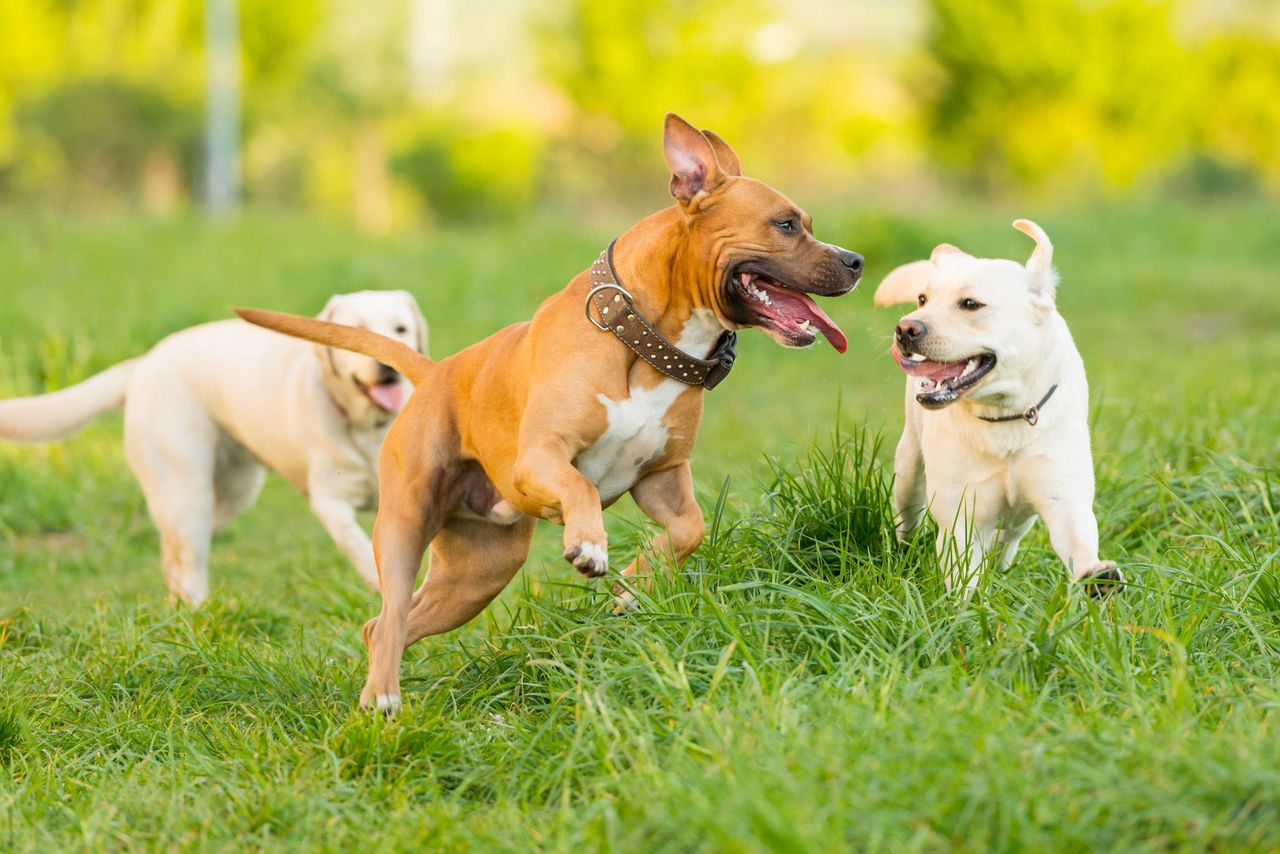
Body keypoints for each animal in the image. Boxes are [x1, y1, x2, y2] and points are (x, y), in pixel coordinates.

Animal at [0, 290, 427, 604]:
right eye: (353, 332)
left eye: (401, 328)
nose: (387, 364)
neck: (368, 427)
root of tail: (143, 363)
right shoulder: (330, 502)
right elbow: (357, 545)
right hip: (188, 493)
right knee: (188, 561)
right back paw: (196, 615)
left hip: (231, 494)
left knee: (172, 551)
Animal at [236, 115, 865, 717]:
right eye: (786, 225)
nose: (855, 260)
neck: (642, 340)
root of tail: (436, 373)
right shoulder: (541, 458)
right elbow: (580, 487)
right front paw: (590, 546)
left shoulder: (664, 478)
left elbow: (690, 528)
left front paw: (635, 586)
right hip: (403, 524)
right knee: (389, 612)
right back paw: (382, 698)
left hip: (477, 576)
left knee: (383, 623)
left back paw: (376, 689)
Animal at [870, 220, 1121, 601]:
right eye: (922, 299)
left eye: (970, 304)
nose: (905, 328)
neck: (1004, 414)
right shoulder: (961, 512)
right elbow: (963, 571)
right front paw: (970, 605)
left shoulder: (1062, 493)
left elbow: (1077, 542)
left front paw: (1097, 576)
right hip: (909, 470)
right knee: (908, 518)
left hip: (1022, 515)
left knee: (1009, 535)